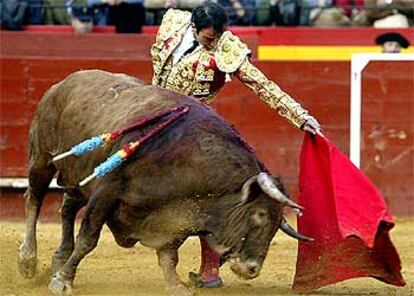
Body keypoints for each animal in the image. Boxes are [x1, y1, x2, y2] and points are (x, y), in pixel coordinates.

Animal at [19, 70, 310, 296]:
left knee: (67, 208)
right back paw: (28, 260)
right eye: (259, 215)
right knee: (35, 199)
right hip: (42, 159)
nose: (252, 269)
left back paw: (58, 258)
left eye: (277, 224)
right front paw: (63, 281)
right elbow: (88, 239)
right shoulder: (107, 191)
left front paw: (176, 286)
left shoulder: (177, 214)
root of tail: (63, 83)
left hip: (78, 176)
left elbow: (170, 254)